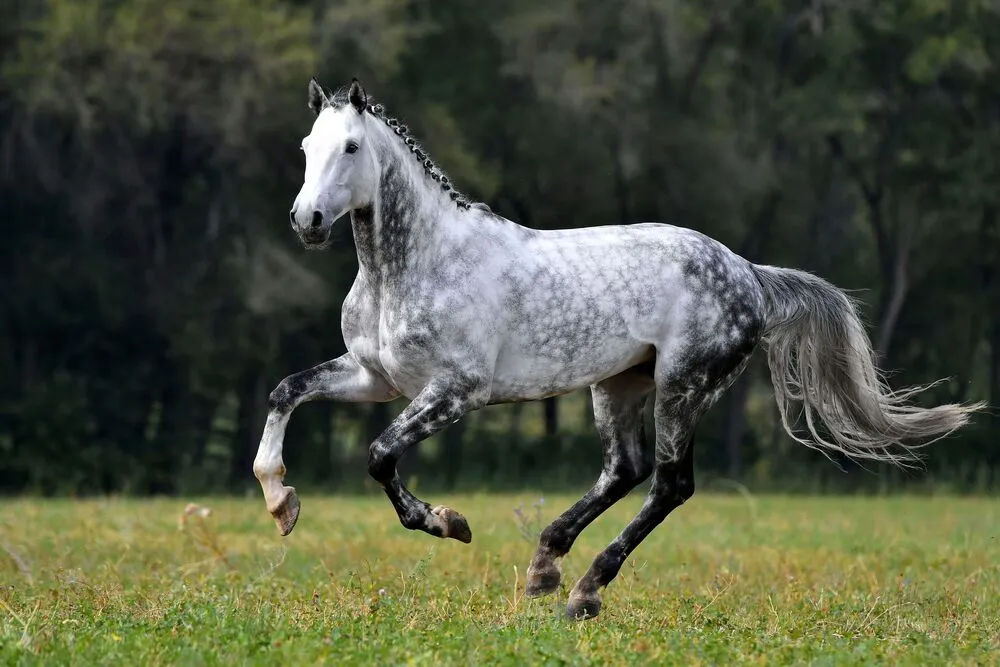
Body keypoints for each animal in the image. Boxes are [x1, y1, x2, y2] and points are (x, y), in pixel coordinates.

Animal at [254, 78, 988, 620]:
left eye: (351, 147)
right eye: (307, 144)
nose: (306, 221)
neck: (415, 265)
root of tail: (748, 272)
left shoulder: (455, 390)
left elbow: (380, 455)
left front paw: (448, 521)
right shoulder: (374, 377)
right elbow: (286, 391)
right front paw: (280, 502)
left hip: (683, 385)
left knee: (668, 484)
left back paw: (584, 590)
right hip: (619, 384)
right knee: (624, 470)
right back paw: (546, 565)